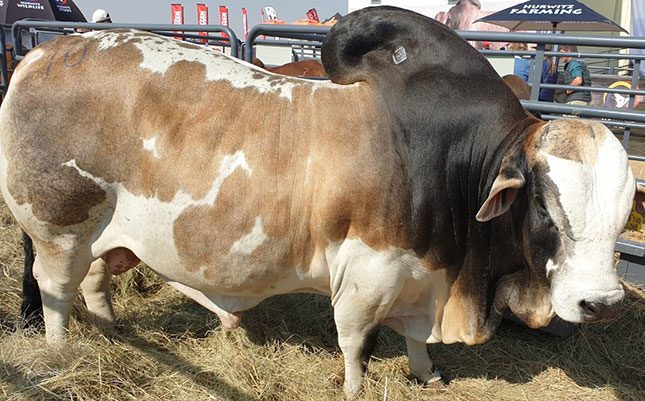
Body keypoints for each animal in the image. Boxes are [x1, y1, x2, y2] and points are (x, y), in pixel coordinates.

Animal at [0, 6, 637, 399]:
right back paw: (61, 351)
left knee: (94, 282)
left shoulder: (422, 277)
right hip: (58, 232)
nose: (604, 304)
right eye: (546, 206)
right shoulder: (368, 274)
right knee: (56, 293)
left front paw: (427, 374)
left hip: (102, 237)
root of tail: (39, 57)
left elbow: (414, 341)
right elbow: (357, 342)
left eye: (623, 211)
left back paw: (113, 331)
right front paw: (355, 386)